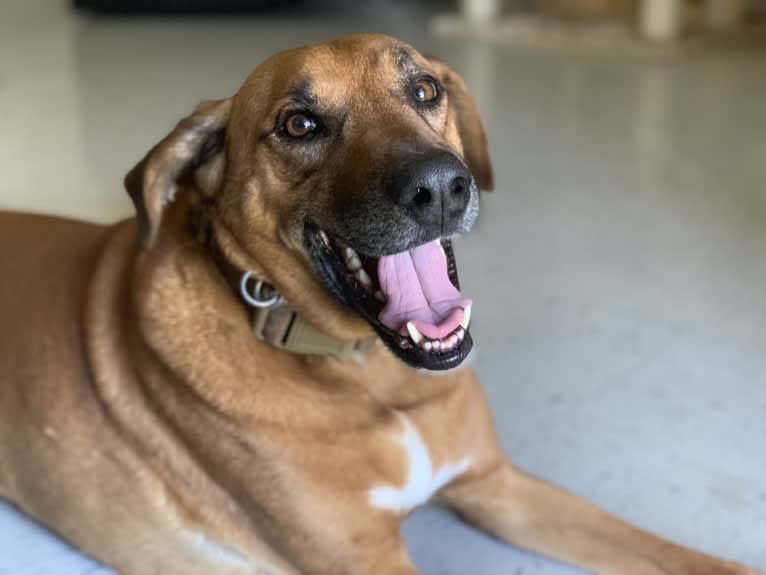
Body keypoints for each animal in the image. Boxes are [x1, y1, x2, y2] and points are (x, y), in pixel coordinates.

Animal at [0, 35, 760, 575]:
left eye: (424, 88)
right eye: (299, 124)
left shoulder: (497, 485)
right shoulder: (367, 559)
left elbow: (674, 554)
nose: (441, 188)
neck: (371, 374)